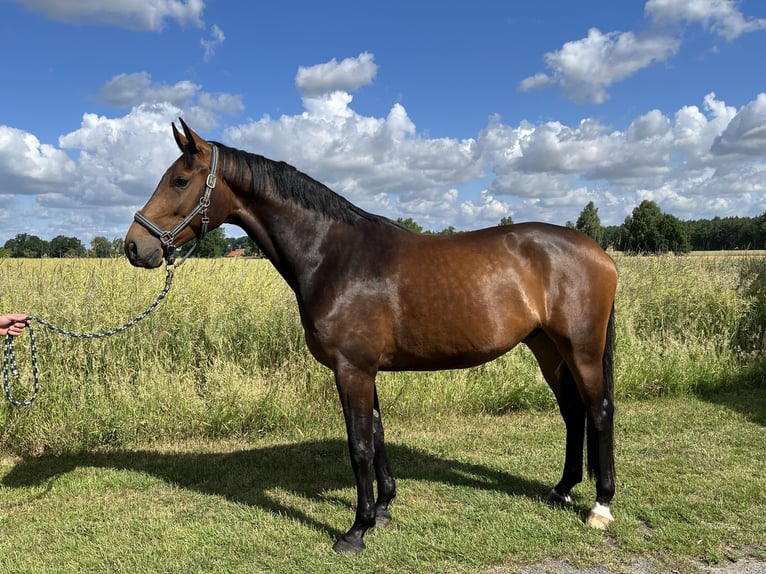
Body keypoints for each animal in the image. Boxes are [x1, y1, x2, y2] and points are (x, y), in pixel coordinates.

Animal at [124, 119, 616, 556]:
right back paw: (562, 489)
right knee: (572, 412)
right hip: (547, 348)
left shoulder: (352, 370)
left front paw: (355, 531)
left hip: (581, 349)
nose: (133, 246)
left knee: (598, 411)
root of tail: (599, 252)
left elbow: (358, 445)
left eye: (180, 180)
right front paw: (382, 509)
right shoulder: (366, 370)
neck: (334, 255)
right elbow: (377, 436)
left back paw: (600, 505)